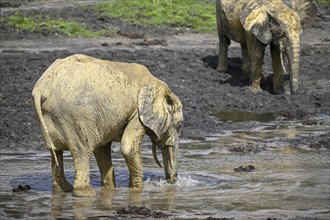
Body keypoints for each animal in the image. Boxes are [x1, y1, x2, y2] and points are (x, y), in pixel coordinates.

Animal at [32, 54, 183, 197]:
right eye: (180, 124)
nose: (172, 182)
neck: (159, 85)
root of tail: (41, 89)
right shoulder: (137, 113)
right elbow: (127, 146)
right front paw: (136, 190)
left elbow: (102, 149)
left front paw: (110, 190)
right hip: (74, 116)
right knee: (82, 152)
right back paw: (86, 194)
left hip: (52, 117)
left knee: (55, 151)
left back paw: (62, 189)